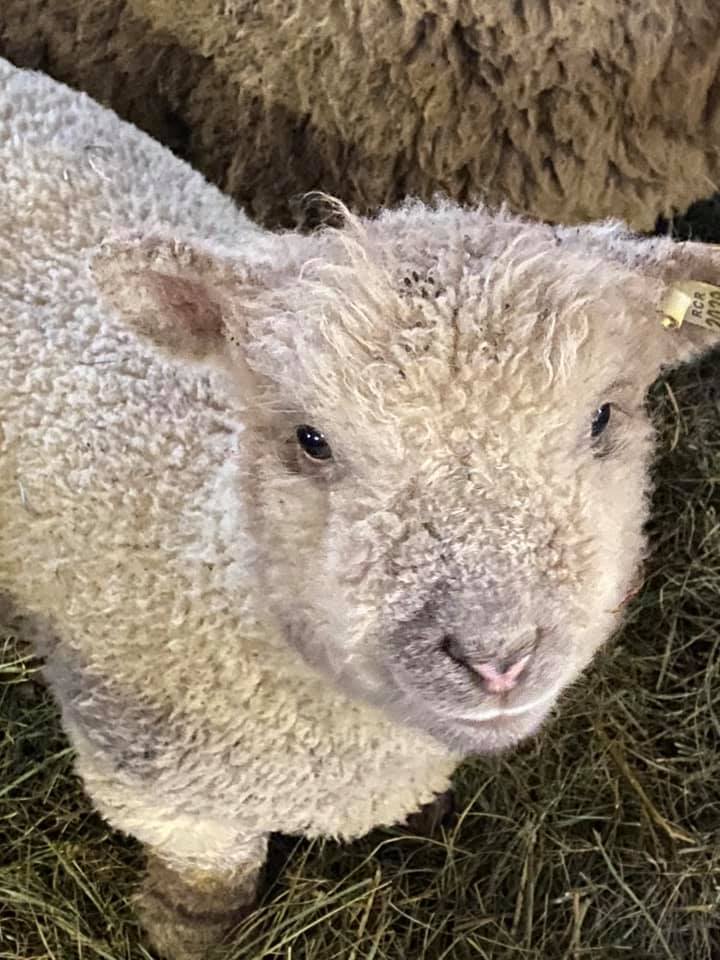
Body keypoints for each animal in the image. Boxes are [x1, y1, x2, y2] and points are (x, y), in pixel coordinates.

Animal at [1, 58, 719, 960]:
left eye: (601, 419)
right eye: (311, 440)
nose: (497, 658)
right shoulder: (155, 787)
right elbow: (210, 877)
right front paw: (187, 930)